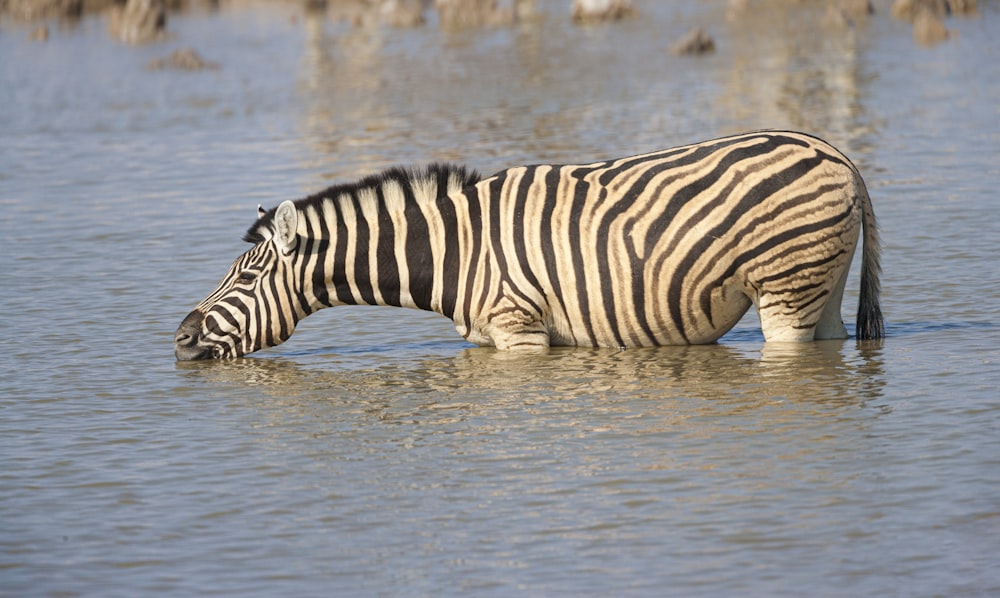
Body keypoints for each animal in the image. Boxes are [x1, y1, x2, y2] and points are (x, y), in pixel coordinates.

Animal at [172, 131, 884, 360]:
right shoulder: (492, 337)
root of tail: (837, 154)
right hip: (821, 286)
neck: (454, 250)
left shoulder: (520, 332)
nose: (178, 340)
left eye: (244, 278)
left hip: (786, 290)